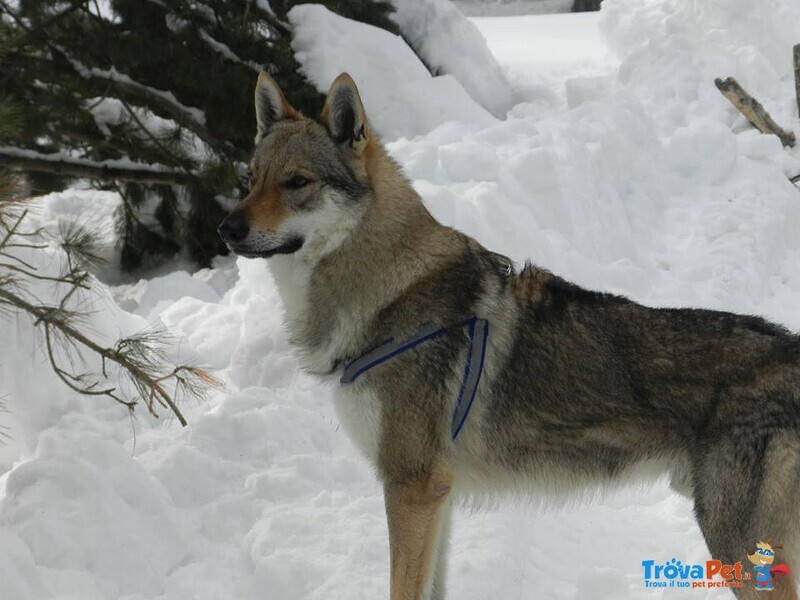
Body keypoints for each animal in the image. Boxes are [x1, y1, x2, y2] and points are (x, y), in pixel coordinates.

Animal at [219, 71, 800, 600]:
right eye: (251, 179)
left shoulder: (411, 488)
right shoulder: (438, 496)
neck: (386, 289)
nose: (227, 228)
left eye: (297, 182)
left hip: (739, 547)